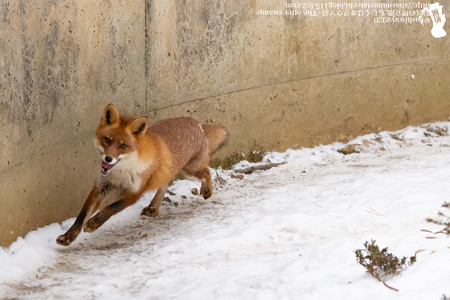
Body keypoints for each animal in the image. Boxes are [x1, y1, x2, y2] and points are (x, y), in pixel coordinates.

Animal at [56, 103, 229, 246]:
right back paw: (153, 206)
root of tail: (195, 122)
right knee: (165, 184)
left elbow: (109, 208)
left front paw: (93, 223)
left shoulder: (135, 192)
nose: (108, 158)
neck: (120, 172)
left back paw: (206, 191)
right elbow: (81, 215)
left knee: (207, 172)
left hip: (190, 172)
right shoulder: (101, 187)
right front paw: (68, 236)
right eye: (107, 140)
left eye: (123, 146)